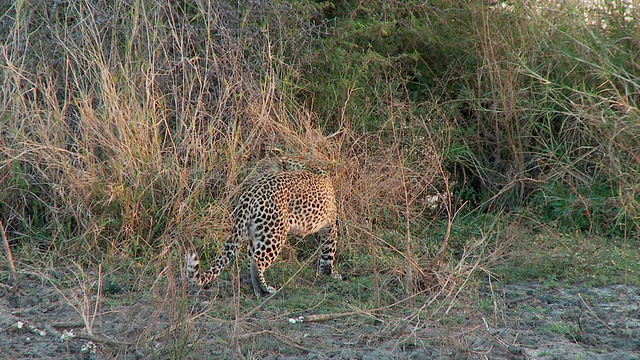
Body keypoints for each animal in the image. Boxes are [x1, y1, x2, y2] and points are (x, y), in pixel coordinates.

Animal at [186, 156, 340, 296]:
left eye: (264, 167)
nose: (252, 175)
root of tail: (250, 193)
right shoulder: (331, 225)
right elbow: (328, 251)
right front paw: (329, 273)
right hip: (275, 232)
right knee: (257, 260)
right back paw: (267, 288)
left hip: (256, 232)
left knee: (250, 261)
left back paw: (258, 290)